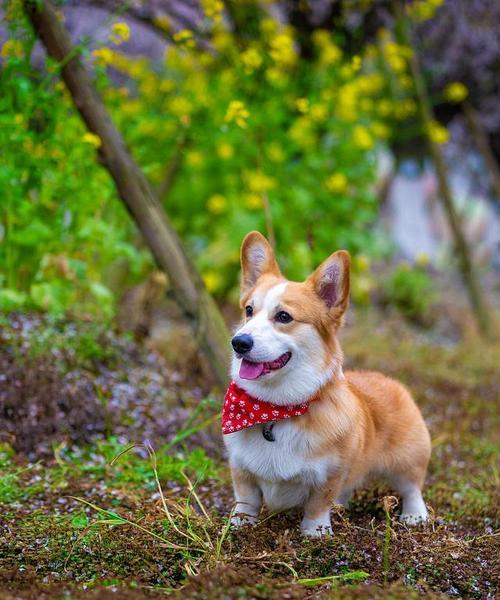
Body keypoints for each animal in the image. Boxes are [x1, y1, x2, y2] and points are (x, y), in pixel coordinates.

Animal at [223, 232, 430, 536]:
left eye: (283, 316)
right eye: (249, 310)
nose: (239, 342)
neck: (275, 410)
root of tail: (386, 378)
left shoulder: (329, 474)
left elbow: (317, 505)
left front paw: (315, 534)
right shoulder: (241, 470)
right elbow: (245, 502)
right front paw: (239, 527)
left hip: (407, 459)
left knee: (412, 488)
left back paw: (415, 515)